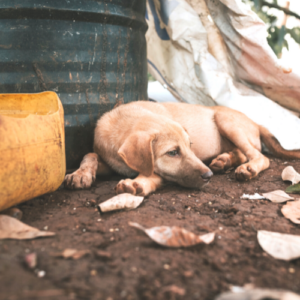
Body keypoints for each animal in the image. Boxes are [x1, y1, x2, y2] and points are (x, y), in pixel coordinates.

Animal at [63, 101, 300, 196]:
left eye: (190, 146)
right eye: (173, 153)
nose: (208, 176)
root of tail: (256, 123)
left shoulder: (159, 172)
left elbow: (152, 174)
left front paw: (137, 183)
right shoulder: (110, 161)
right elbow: (90, 154)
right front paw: (80, 174)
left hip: (226, 121)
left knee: (260, 156)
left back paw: (246, 168)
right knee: (243, 153)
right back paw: (224, 160)